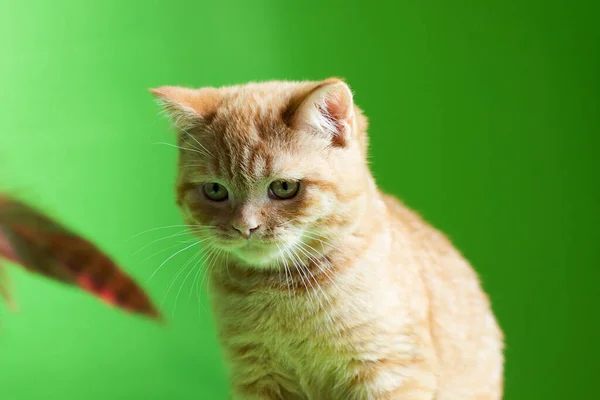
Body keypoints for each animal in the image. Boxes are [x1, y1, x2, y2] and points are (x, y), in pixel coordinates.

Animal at [151, 79, 506, 400]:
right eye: (215, 190)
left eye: (283, 187)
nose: (244, 227)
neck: (281, 290)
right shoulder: (255, 375)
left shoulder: (390, 370)